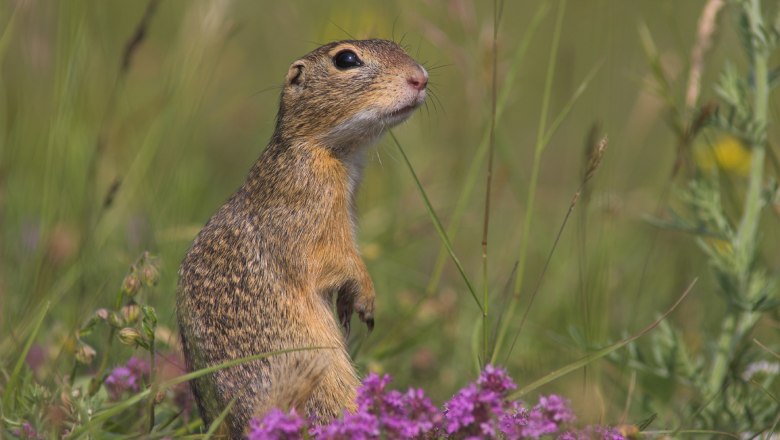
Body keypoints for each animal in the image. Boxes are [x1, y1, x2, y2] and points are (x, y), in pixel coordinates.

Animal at [177, 38, 430, 436]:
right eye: (346, 59)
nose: (421, 78)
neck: (324, 150)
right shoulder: (310, 215)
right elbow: (333, 259)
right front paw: (366, 298)